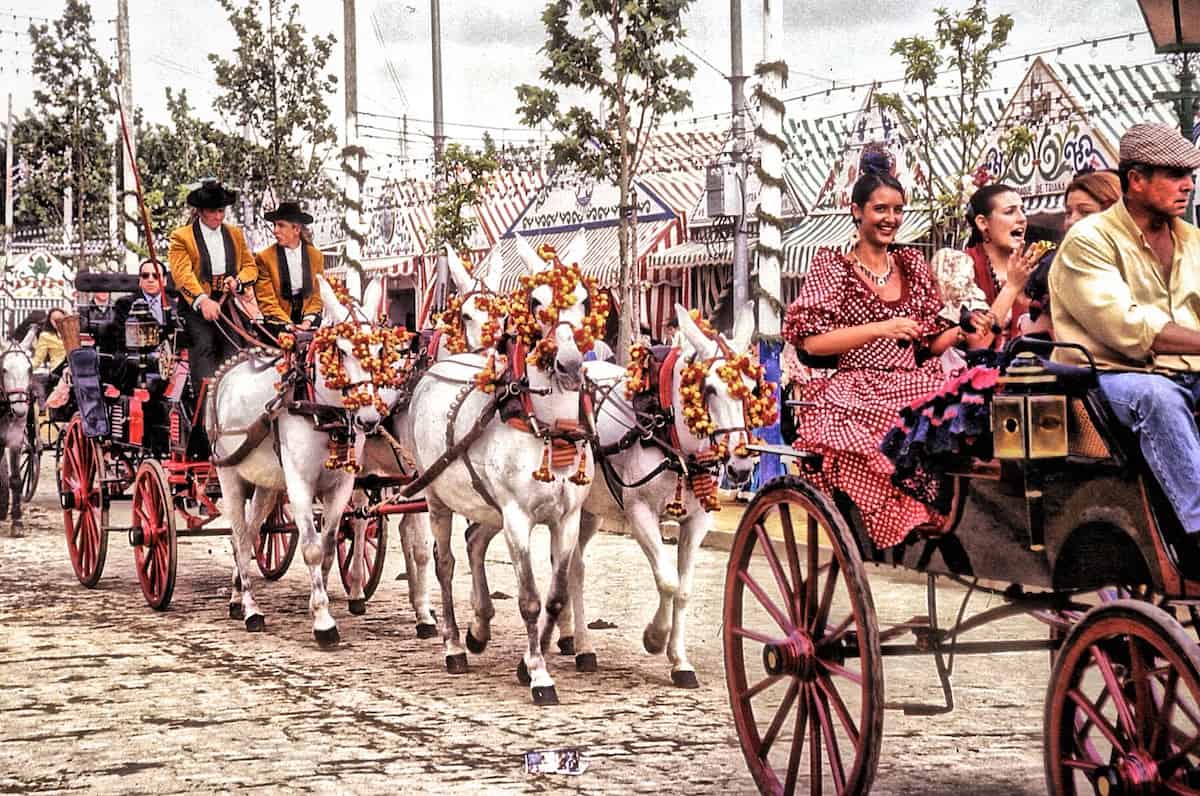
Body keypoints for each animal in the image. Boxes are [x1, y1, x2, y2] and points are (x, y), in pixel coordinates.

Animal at [208, 277, 391, 643]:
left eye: (379, 350)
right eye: (341, 351)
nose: (368, 418)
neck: (324, 410)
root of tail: (228, 372)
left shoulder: (342, 484)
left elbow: (330, 544)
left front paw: (325, 601)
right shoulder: (300, 484)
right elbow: (311, 547)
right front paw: (322, 620)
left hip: (266, 484)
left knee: (250, 535)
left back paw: (237, 596)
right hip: (230, 474)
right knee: (238, 537)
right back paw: (251, 609)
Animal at [400, 235, 592, 705]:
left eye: (583, 299)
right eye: (536, 301)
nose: (570, 366)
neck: (549, 427)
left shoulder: (567, 518)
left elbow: (556, 596)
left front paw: (528, 661)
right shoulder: (518, 519)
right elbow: (528, 599)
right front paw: (539, 675)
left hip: (486, 505)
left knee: (473, 542)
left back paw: (478, 628)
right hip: (437, 498)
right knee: (444, 562)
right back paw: (452, 643)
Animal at [465, 302, 758, 686]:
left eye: (752, 388)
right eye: (708, 388)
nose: (742, 466)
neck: (666, 428)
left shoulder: (697, 521)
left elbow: (683, 589)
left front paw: (680, 660)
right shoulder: (639, 514)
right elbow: (667, 580)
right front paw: (654, 637)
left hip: (586, 512)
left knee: (571, 568)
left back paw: (572, 640)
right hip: (510, 507)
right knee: (476, 541)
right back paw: (485, 629)